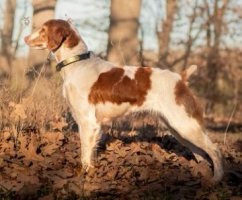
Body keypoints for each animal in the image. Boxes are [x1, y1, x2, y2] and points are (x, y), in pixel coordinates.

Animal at [24, 19, 223, 183]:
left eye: (43, 30)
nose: (25, 38)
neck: (77, 63)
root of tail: (180, 79)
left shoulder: (88, 122)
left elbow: (85, 153)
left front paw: (84, 175)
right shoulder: (91, 124)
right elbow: (90, 152)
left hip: (185, 125)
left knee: (214, 150)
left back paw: (217, 179)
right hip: (178, 128)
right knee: (200, 153)